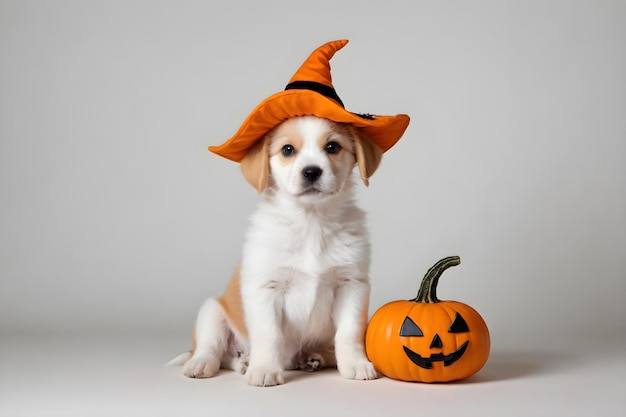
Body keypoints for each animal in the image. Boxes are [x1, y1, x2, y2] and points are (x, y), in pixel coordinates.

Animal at [171, 115, 382, 386]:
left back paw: (313, 357)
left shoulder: (352, 285)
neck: (310, 222)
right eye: (288, 150)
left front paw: (355, 364)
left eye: (332, 147)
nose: (311, 171)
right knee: (215, 350)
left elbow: (349, 332)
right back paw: (217, 363)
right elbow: (268, 334)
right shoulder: (266, 288)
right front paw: (264, 369)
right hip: (212, 311)